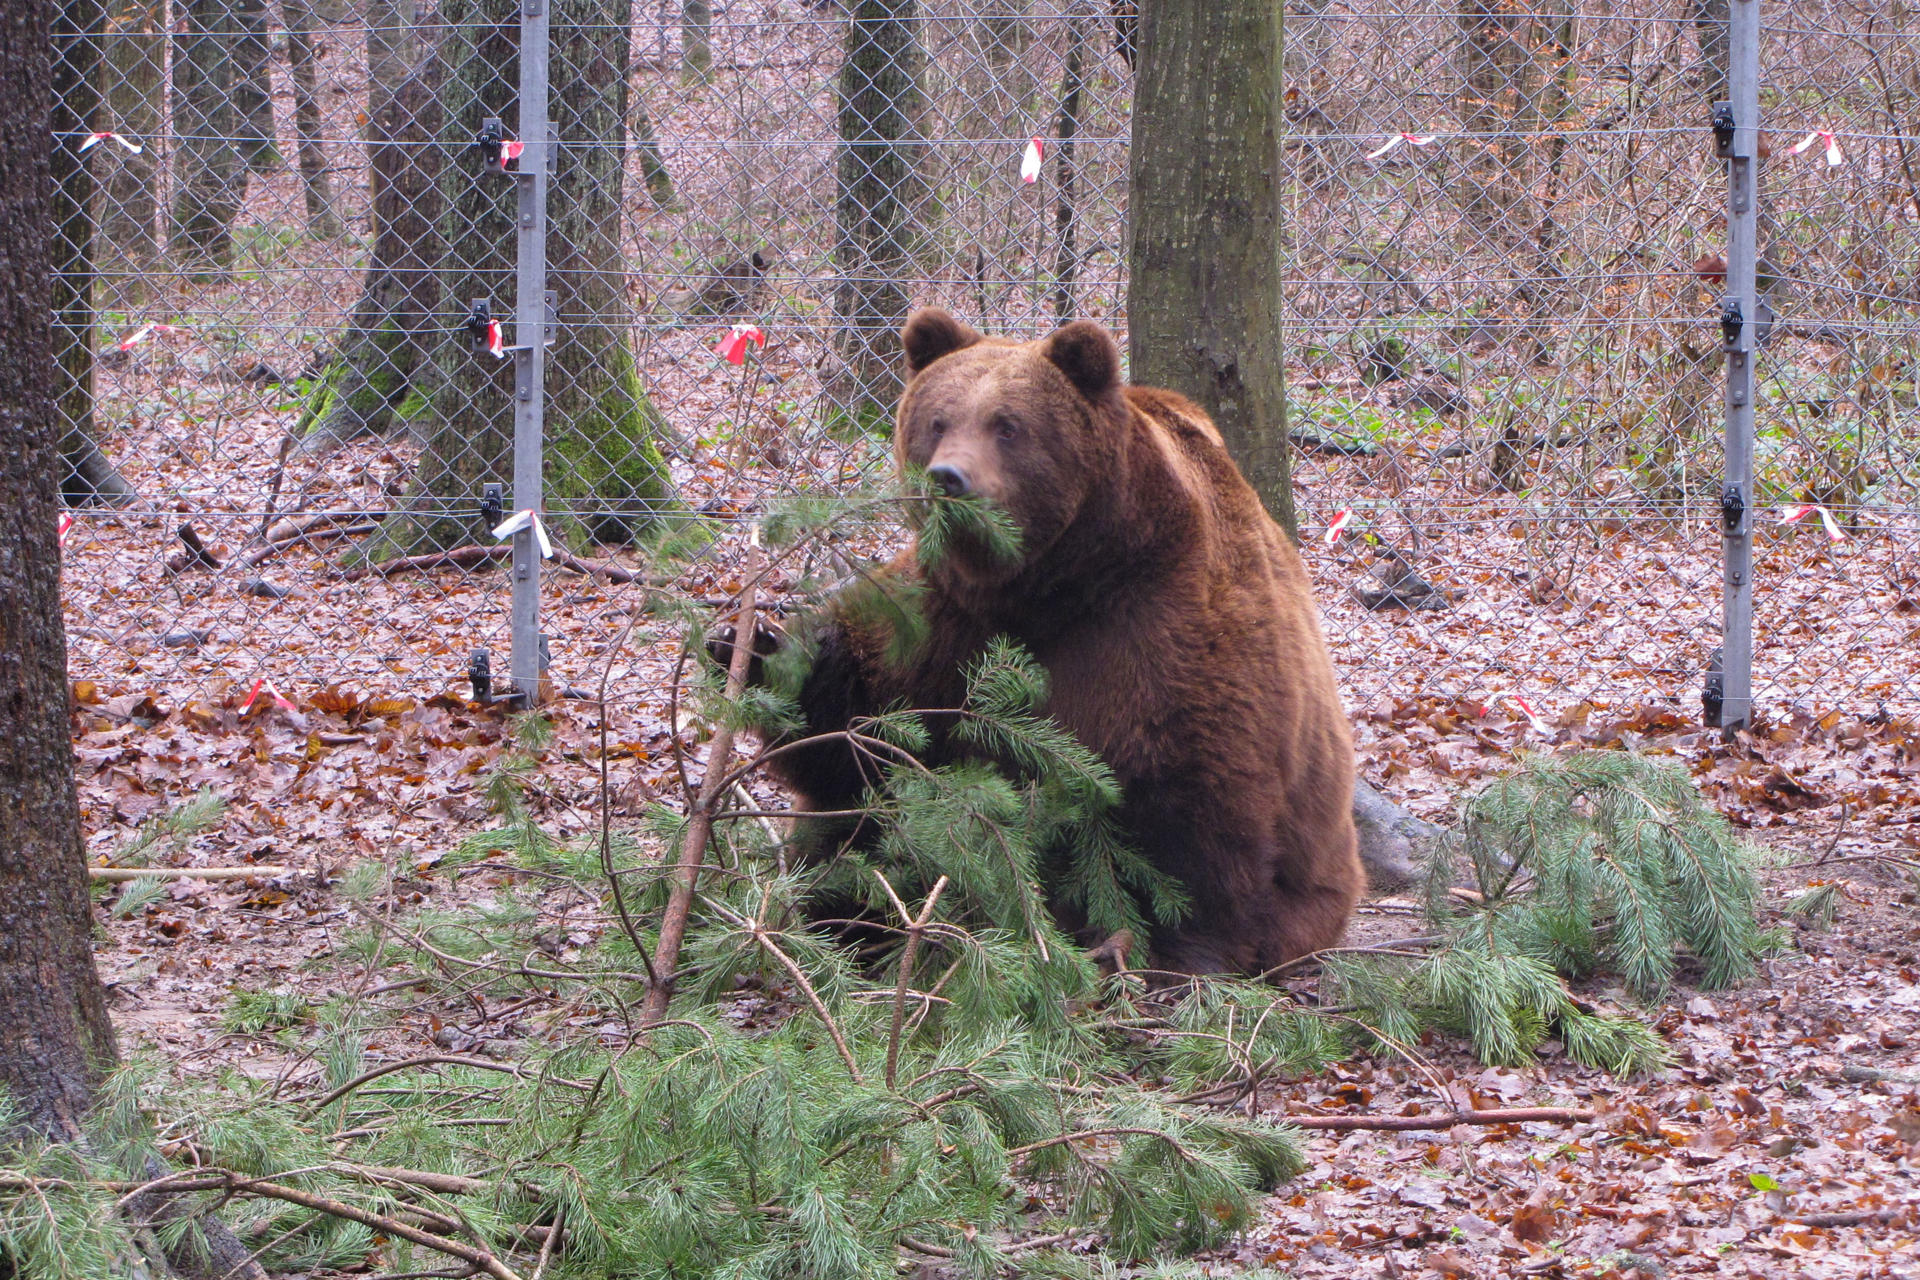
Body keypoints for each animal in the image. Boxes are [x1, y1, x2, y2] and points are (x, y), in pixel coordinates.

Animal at [737, 314, 1367, 974]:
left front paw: (1180, 943)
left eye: (1007, 425)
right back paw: (843, 912)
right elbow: (862, 726)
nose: (948, 479)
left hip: (1312, 891)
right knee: (848, 824)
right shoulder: (947, 619)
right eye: (938, 420)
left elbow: (1189, 787)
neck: (1051, 581)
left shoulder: (1156, 619)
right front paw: (754, 643)